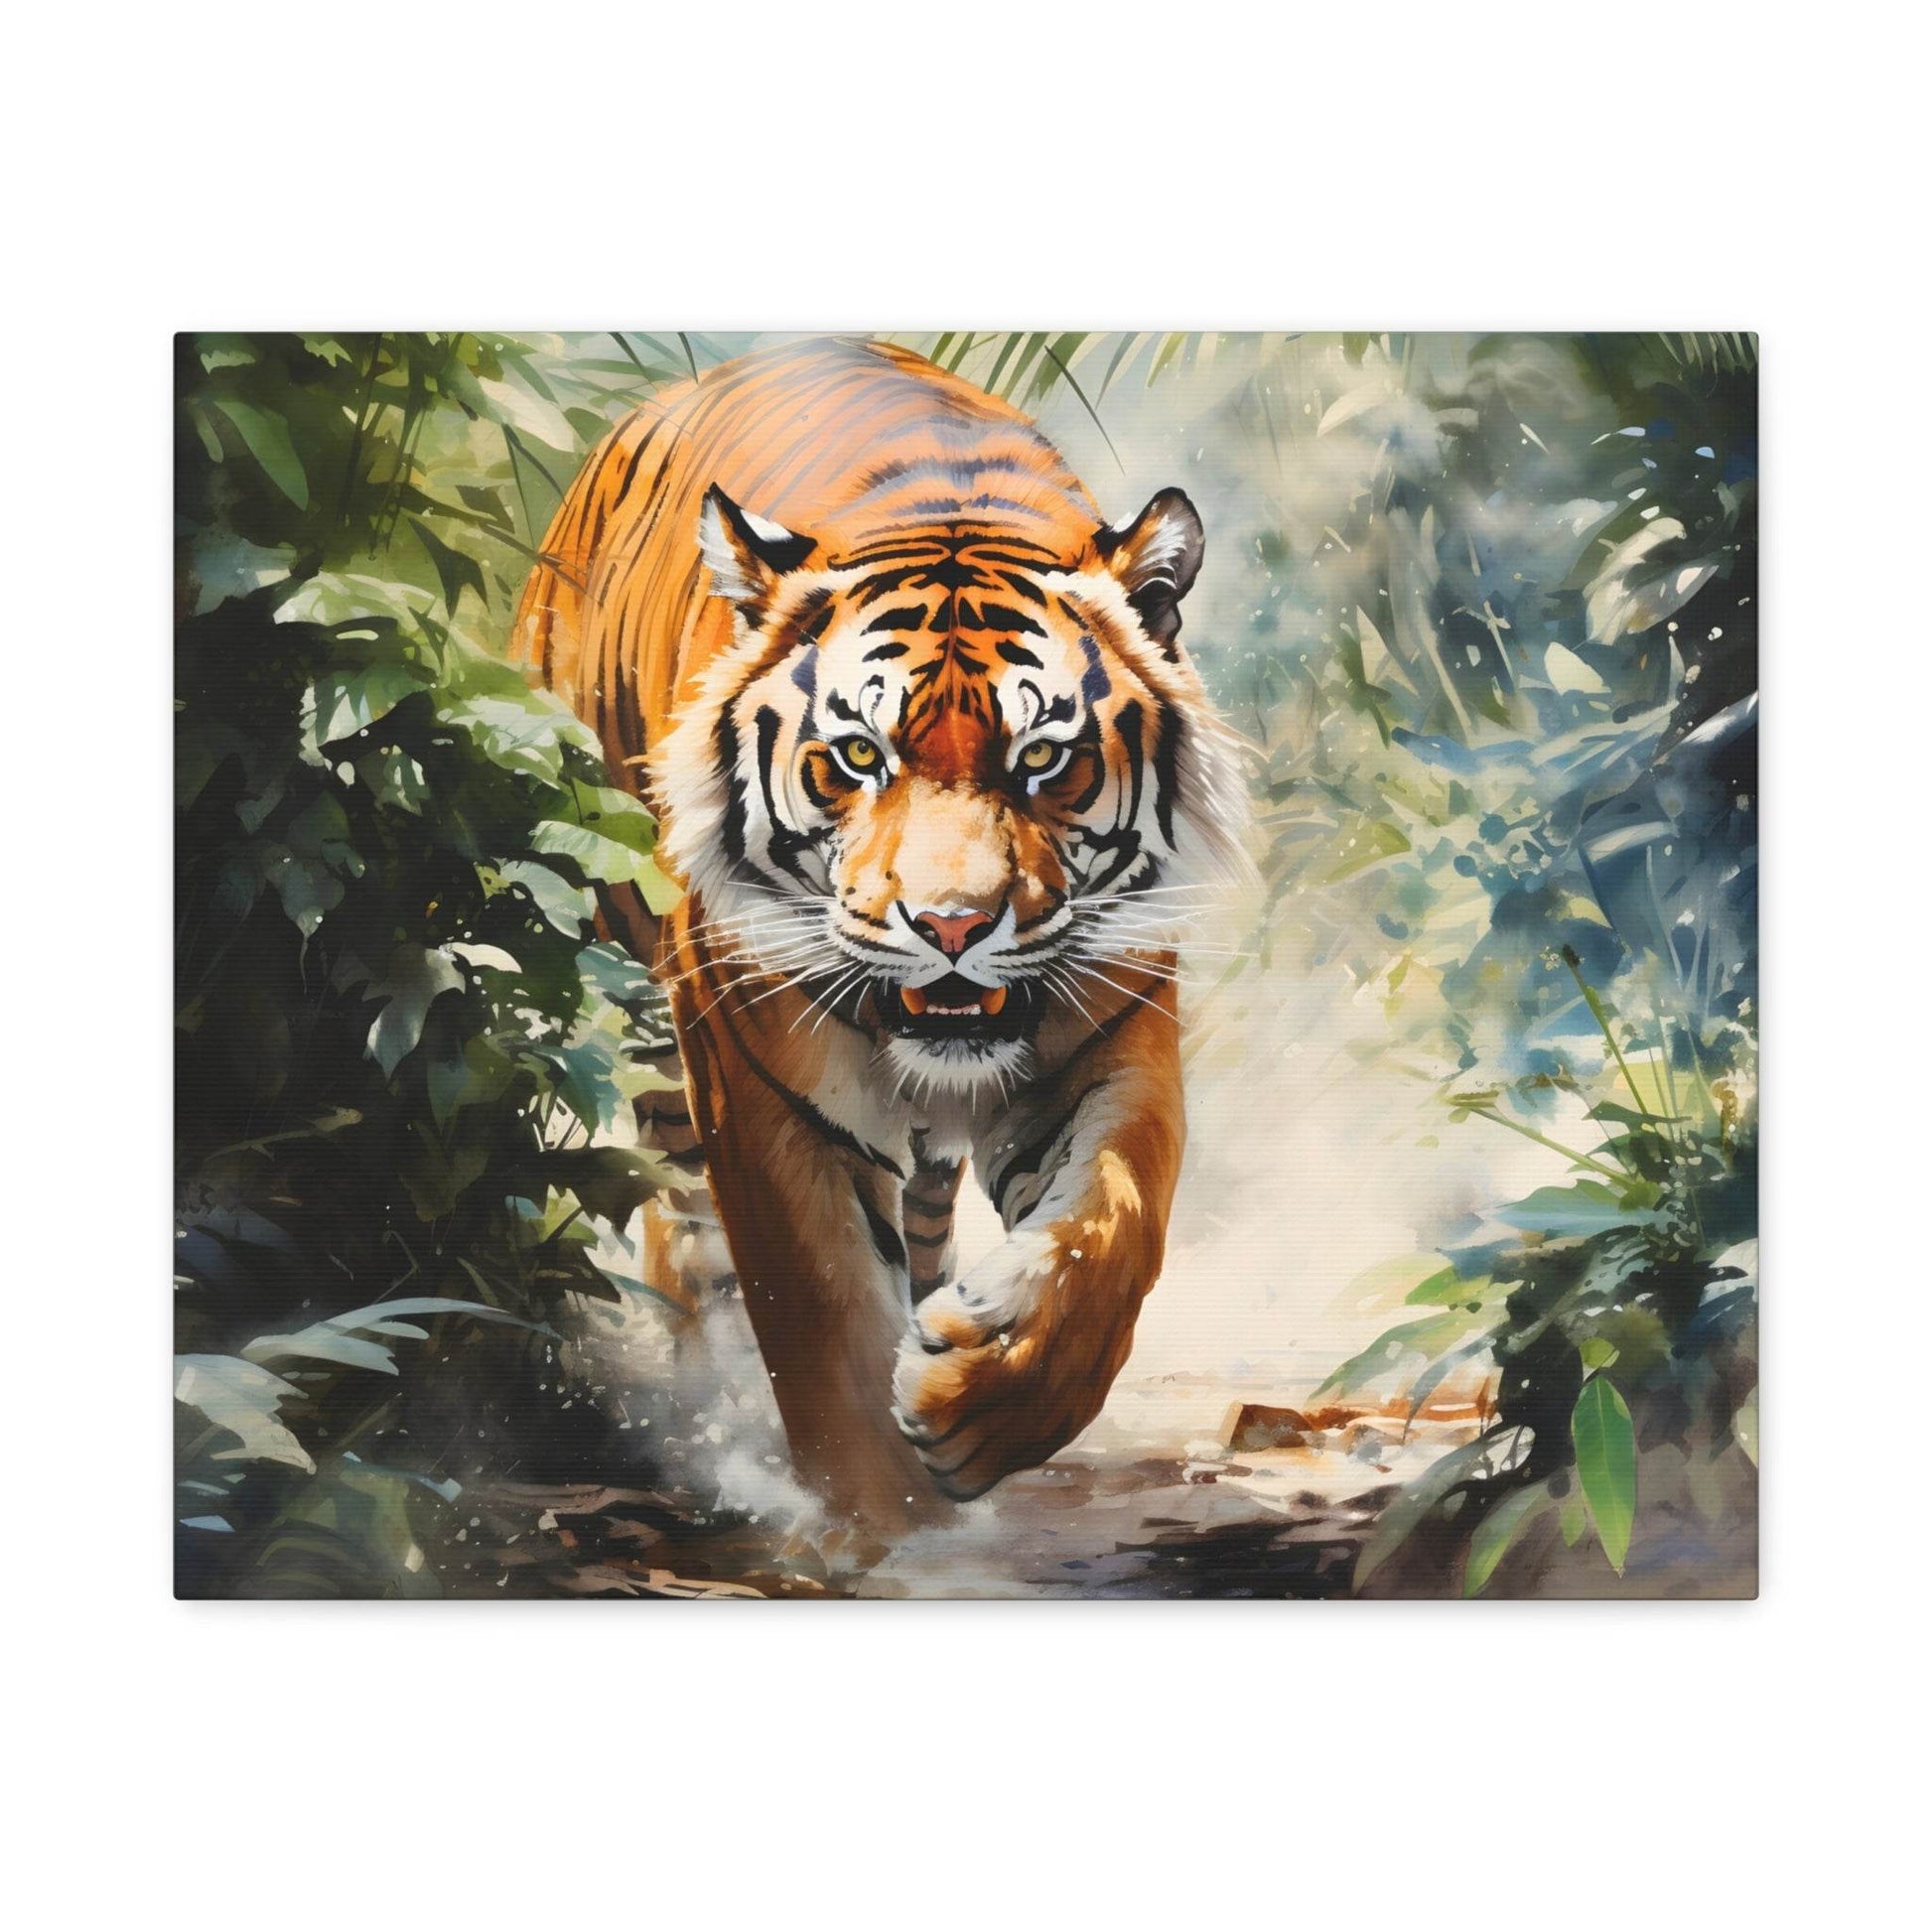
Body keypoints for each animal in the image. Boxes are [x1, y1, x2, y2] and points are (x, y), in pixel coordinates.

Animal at [513, 337, 1245, 1529]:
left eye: (1042, 759)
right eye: (858, 756)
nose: (951, 925)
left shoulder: (1110, 1034)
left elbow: (1114, 1227)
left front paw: (976, 1399)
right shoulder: (760, 1084)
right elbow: (819, 1323)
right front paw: (886, 1527)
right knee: (687, 1235)